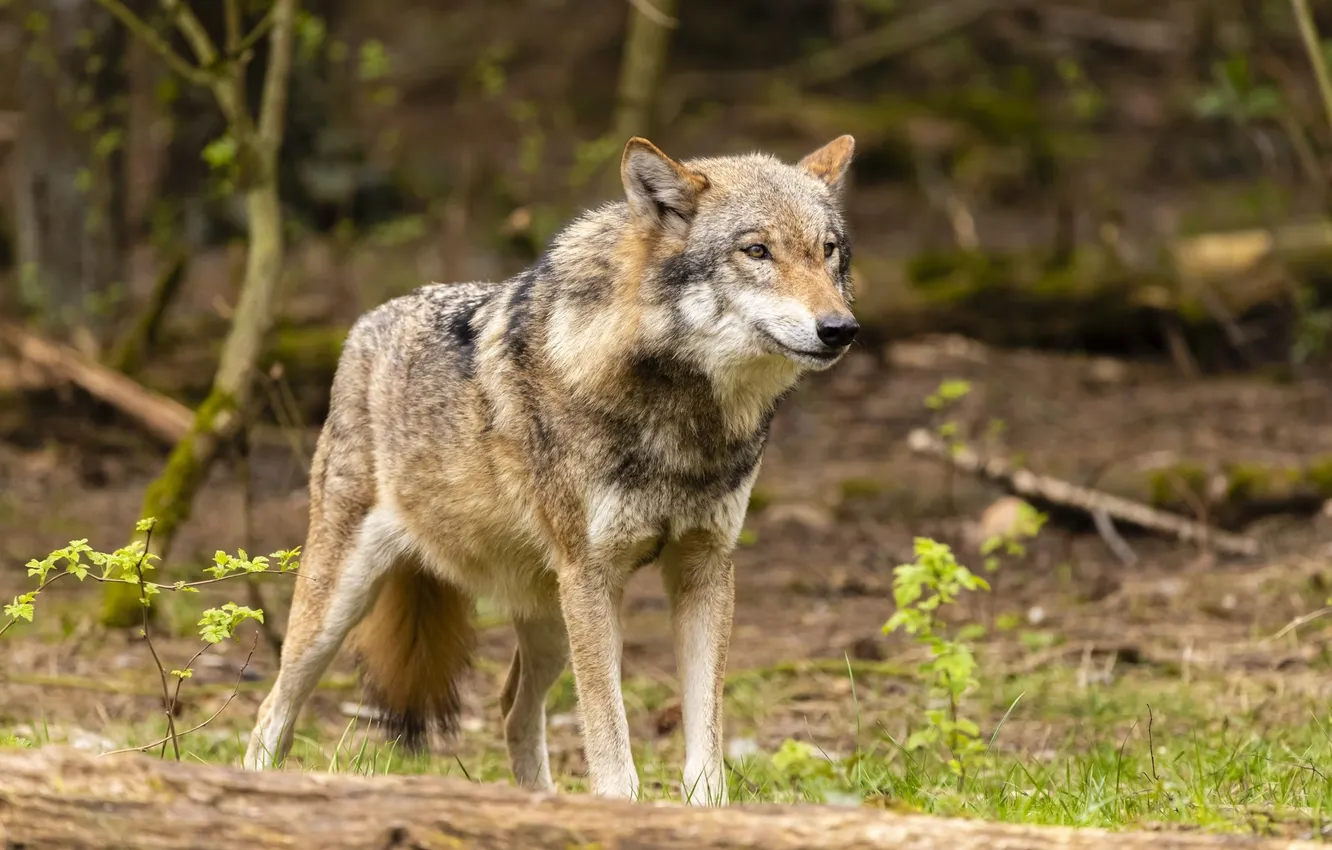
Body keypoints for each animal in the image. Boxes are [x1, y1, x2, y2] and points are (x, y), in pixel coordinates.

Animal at [242, 134, 860, 806]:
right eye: (756, 251)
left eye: (828, 251)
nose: (841, 329)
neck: (682, 420)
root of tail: (363, 325)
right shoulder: (592, 574)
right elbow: (611, 748)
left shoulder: (705, 568)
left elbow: (706, 746)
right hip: (341, 606)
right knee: (270, 712)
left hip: (551, 617)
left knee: (511, 707)